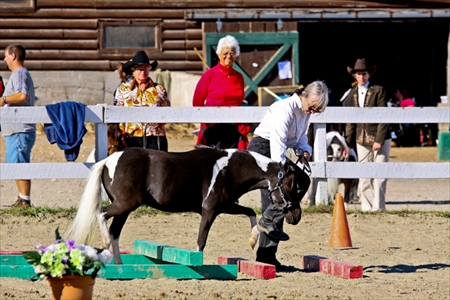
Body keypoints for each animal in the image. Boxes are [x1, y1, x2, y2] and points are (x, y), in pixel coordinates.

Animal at [65, 146, 310, 264]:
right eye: (295, 186)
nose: (296, 216)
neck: (230, 169)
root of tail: (109, 160)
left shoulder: (224, 206)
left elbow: (250, 213)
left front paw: (252, 241)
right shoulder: (210, 210)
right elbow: (201, 240)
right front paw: (197, 263)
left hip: (126, 208)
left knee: (115, 231)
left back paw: (118, 264)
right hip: (126, 204)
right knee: (103, 216)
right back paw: (106, 244)